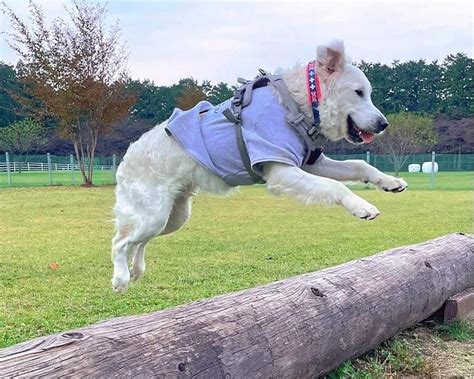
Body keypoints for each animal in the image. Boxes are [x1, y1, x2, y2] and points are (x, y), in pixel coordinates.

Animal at [111, 40, 408, 294]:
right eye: (359, 93)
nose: (383, 124)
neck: (295, 103)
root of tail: (127, 156)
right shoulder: (281, 169)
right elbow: (335, 186)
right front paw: (362, 206)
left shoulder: (312, 164)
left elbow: (359, 164)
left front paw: (390, 182)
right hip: (155, 214)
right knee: (120, 242)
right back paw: (121, 278)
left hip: (173, 217)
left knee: (137, 241)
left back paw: (136, 269)